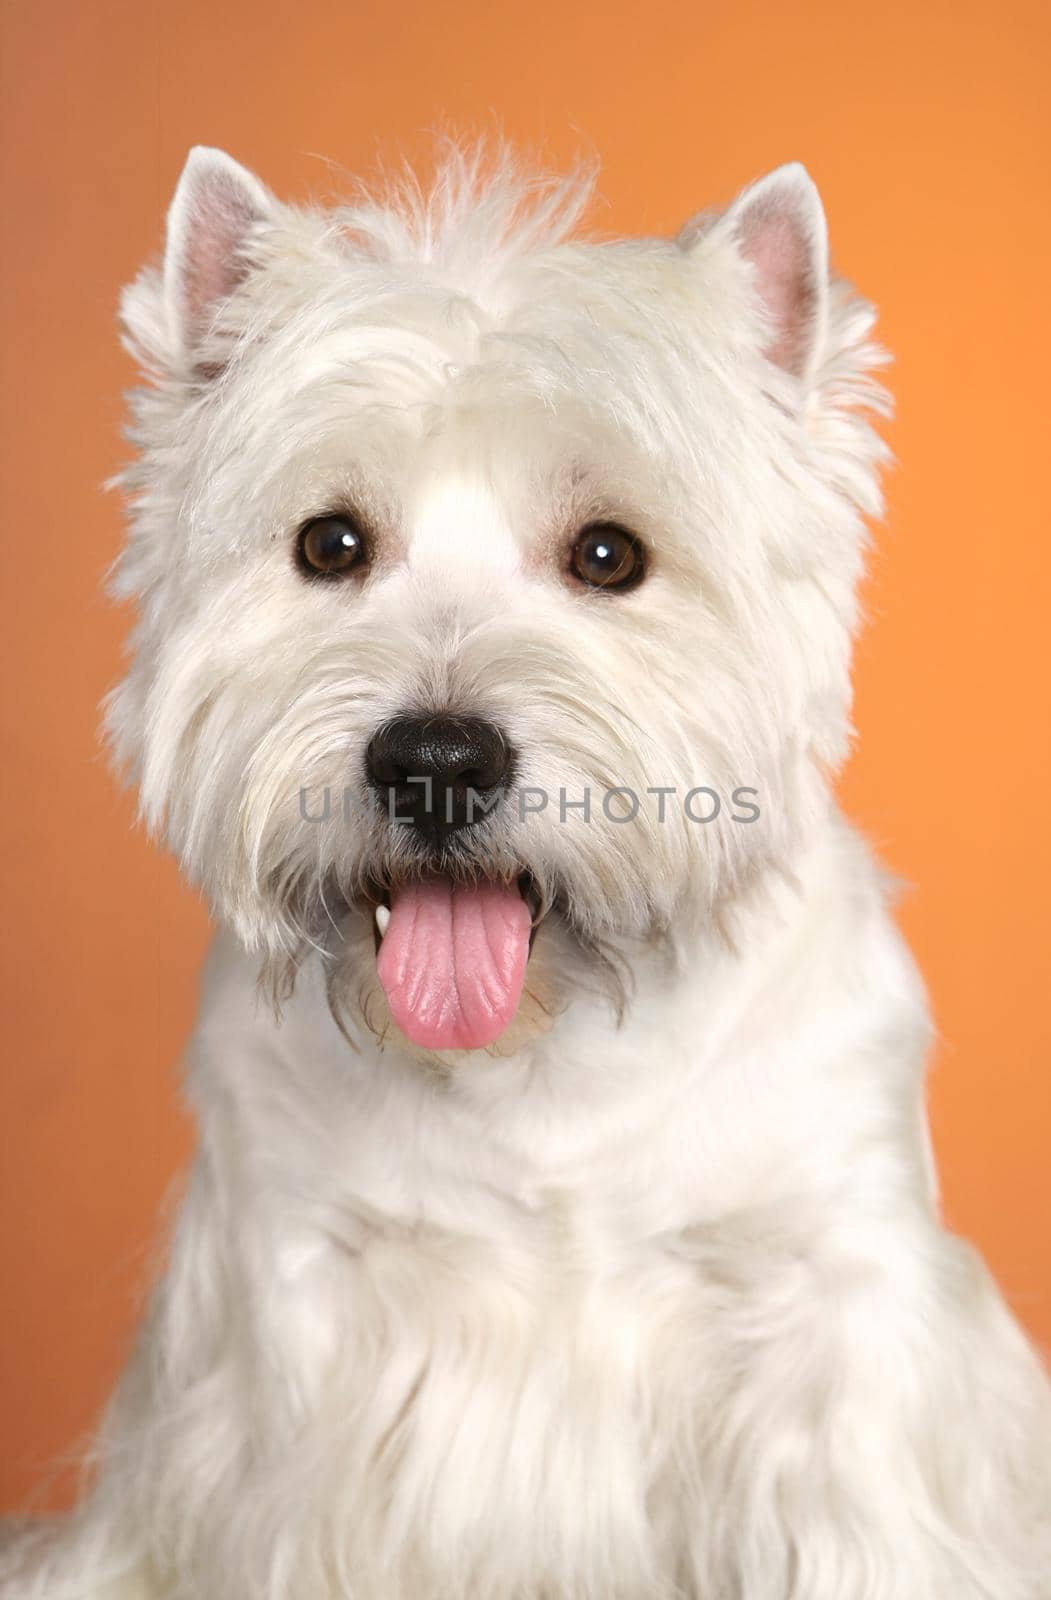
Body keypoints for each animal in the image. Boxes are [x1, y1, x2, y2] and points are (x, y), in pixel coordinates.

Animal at [4, 144, 1043, 1593]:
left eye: (607, 554)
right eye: (328, 543)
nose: (435, 761)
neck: (540, 1065)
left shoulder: (832, 1314)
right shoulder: (296, 1326)